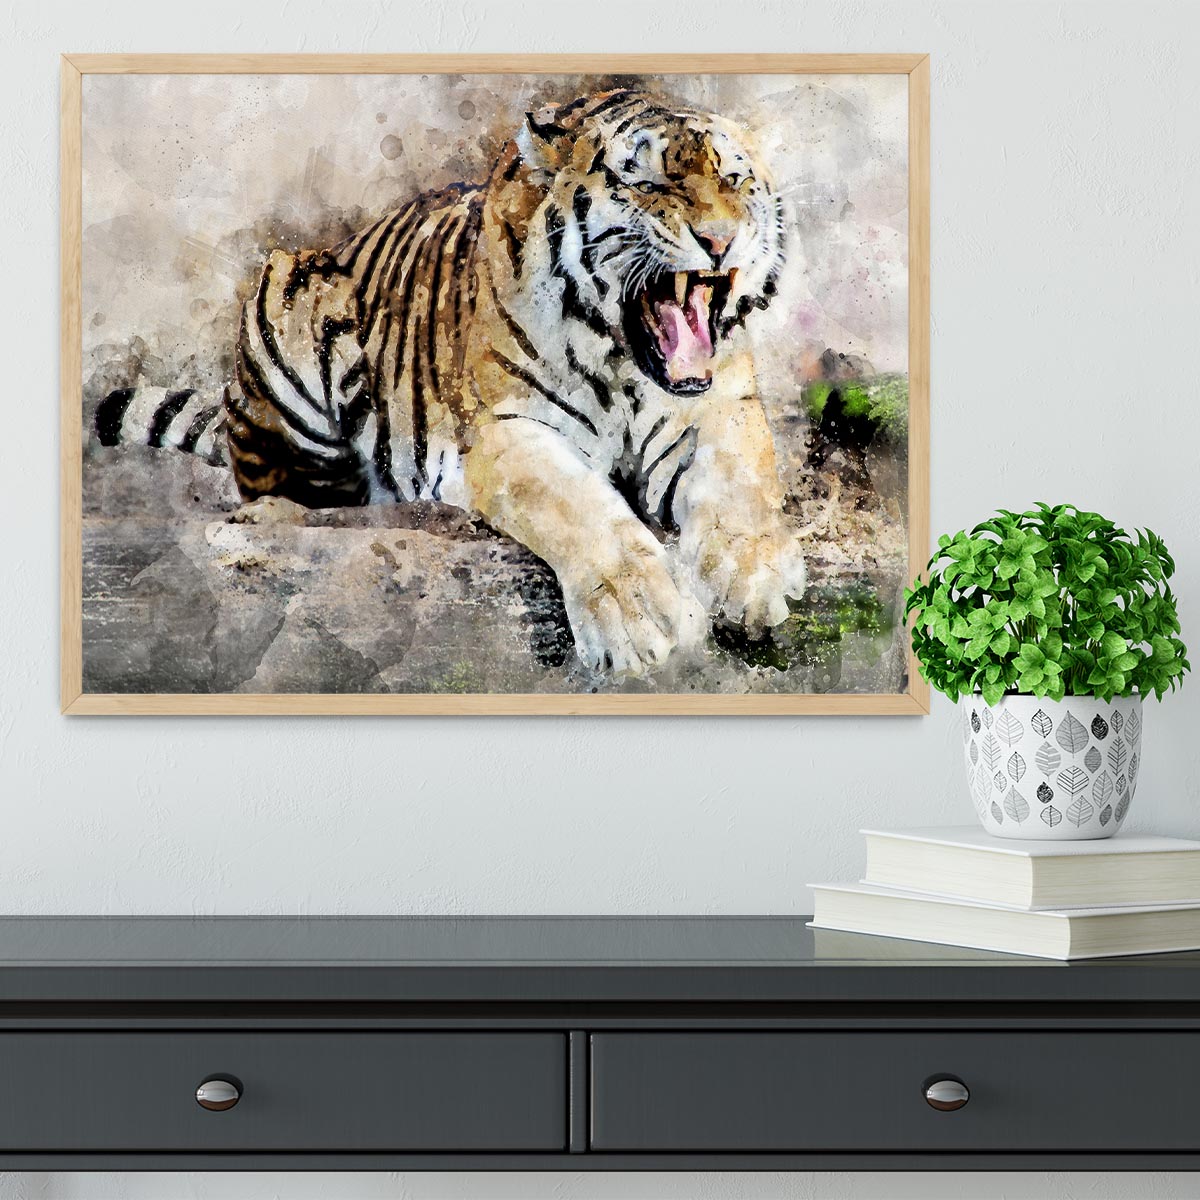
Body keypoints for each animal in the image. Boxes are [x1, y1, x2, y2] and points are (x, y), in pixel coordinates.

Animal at [95, 88, 806, 676]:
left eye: (735, 177)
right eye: (650, 179)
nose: (721, 240)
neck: (625, 364)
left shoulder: (719, 408)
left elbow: (743, 482)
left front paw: (756, 578)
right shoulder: (509, 432)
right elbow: (581, 511)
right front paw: (642, 617)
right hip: (287, 298)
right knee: (290, 485)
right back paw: (279, 514)